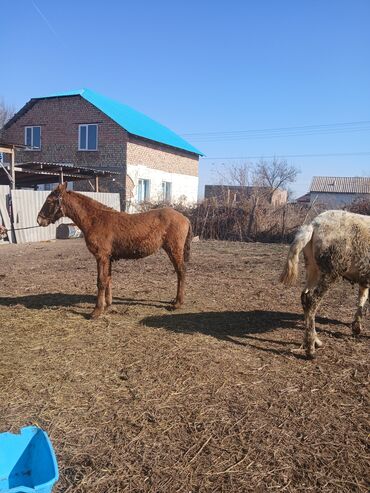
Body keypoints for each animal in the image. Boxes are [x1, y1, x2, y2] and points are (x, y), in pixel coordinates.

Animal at [37, 183, 192, 318]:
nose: (39, 220)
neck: (95, 220)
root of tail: (185, 218)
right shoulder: (108, 258)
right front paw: (108, 304)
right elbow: (108, 279)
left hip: (174, 250)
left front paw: (96, 311)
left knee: (181, 272)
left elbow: (101, 281)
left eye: (50, 201)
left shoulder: (101, 257)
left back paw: (177, 303)